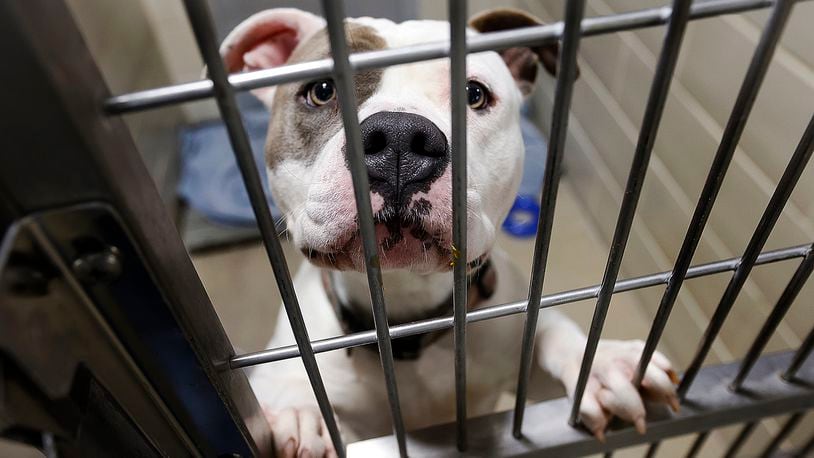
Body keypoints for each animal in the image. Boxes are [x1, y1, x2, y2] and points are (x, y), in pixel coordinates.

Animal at [220, 8, 680, 458]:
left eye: (473, 94)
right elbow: (295, 392)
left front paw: (604, 362)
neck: (407, 319)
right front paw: (295, 414)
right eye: (321, 90)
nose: (400, 138)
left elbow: (550, 332)